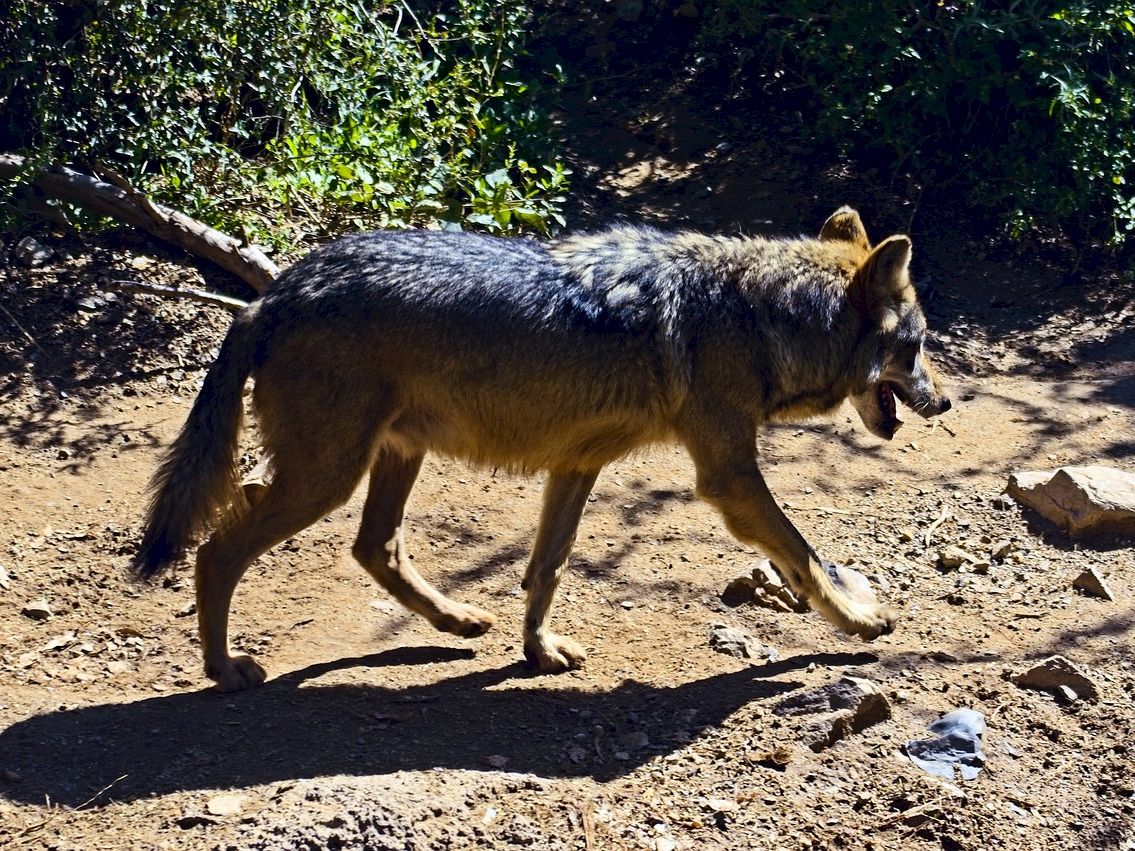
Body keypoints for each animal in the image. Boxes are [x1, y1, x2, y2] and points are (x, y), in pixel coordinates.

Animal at [134, 207, 951, 692]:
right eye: (916, 348)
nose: (945, 402)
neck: (753, 314)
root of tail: (270, 295)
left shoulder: (576, 465)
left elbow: (545, 569)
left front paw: (538, 651)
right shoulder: (729, 477)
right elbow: (806, 557)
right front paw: (860, 620)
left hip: (390, 459)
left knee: (374, 546)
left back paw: (458, 622)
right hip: (327, 476)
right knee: (218, 548)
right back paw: (223, 667)